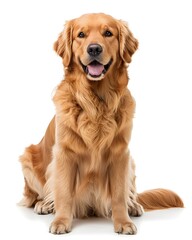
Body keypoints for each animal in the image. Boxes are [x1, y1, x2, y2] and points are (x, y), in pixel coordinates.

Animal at [18, 13, 184, 234]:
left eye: (108, 33)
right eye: (81, 35)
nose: (94, 49)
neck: (96, 102)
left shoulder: (121, 153)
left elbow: (119, 195)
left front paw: (123, 222)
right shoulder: (64, 154)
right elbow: (63, 192)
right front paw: (61, 221)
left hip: (131, 163)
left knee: (130, 194)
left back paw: (134, 205)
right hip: (28, 158)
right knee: (39, 193)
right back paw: (45, 204)